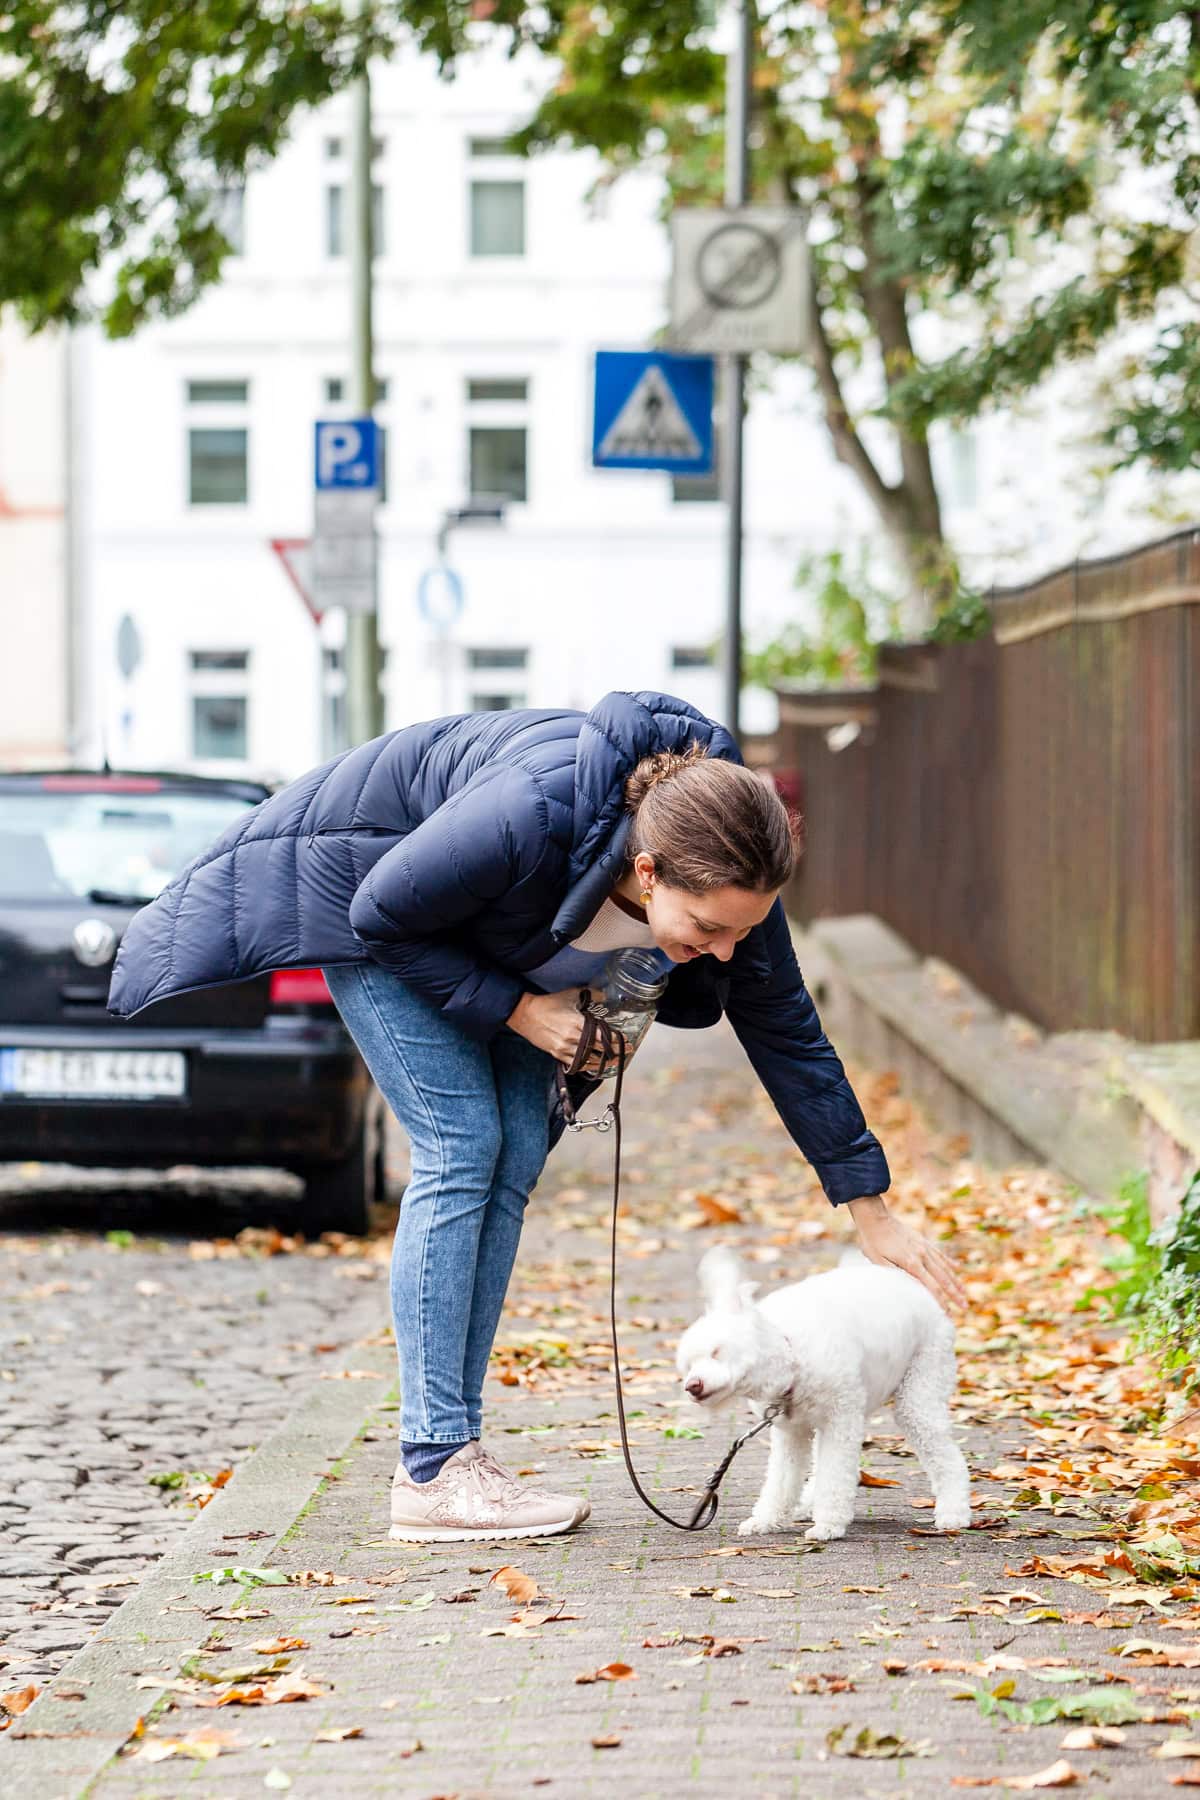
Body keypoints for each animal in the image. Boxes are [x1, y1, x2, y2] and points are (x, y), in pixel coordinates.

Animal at [676, 1252, 978, 1533]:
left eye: (716, 1351)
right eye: (687, 1365)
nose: (692, 1385)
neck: (792, 1355)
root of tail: (913, 1283)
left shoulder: (839, 1421)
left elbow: (833, 1474)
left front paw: (829, 1525)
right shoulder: (792, 1432)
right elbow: (782, 1480)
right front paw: (766, 1520)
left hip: (918, 1392)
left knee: (947, 1457)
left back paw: (954, 1512)